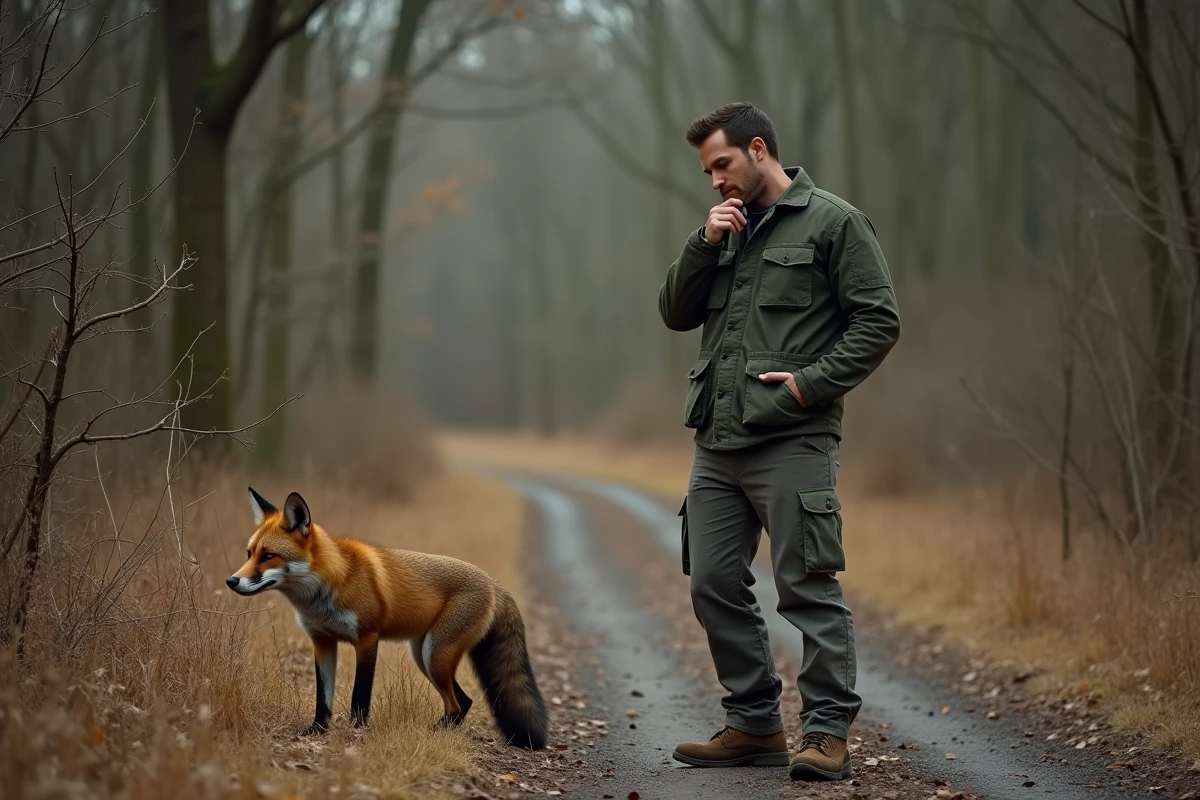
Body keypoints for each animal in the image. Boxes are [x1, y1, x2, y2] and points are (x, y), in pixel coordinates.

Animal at [226, 487, 549, 749]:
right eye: (249, 553)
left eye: (269, 556)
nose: (231, 581)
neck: (333, 581)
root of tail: (494, 584)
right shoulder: (323, 642)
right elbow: (323, 697)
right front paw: (317, 731)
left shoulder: (368, 639)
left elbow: (359, 696)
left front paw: (356, 734)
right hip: (425, 656)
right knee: (463, 701)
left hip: (435, 655)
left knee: (457, 703)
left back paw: (434, 734)